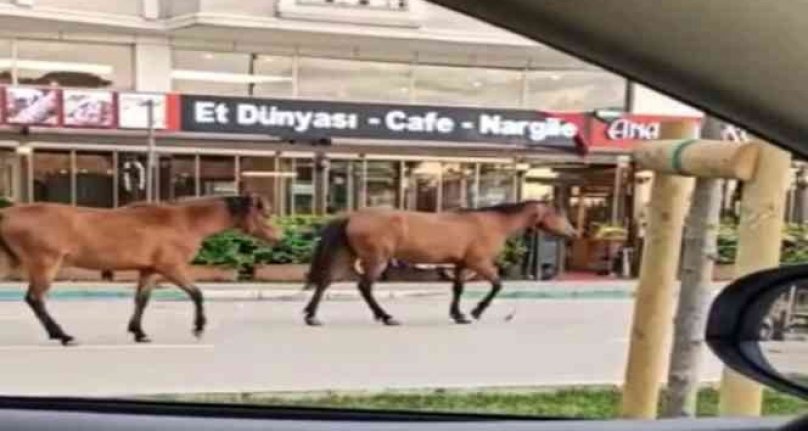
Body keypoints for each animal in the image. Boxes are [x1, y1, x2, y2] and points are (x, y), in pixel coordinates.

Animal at [0, 194, 280, 346]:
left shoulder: (149, 270)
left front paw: (139, 332)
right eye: (265, 213)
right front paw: (198, 328)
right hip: (45, 263)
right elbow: (196, 293)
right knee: (36, 299)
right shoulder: (171, 267)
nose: (279, 236)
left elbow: (141, 300)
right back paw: (63, 336)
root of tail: (6, 214)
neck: (185, 221)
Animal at [302, 202, 576, 328]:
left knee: (325, 282)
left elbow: (458, 290)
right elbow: (497, 285)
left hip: (348, 256)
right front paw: (475, 312)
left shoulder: (462, 265)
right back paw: (387, 317)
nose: (573, 234)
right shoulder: (479, 263)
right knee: (364, 287)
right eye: (558, 214)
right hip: (376, 259)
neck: (493, 223)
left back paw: (312, 316)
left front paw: (459, 315)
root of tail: (352, 215)